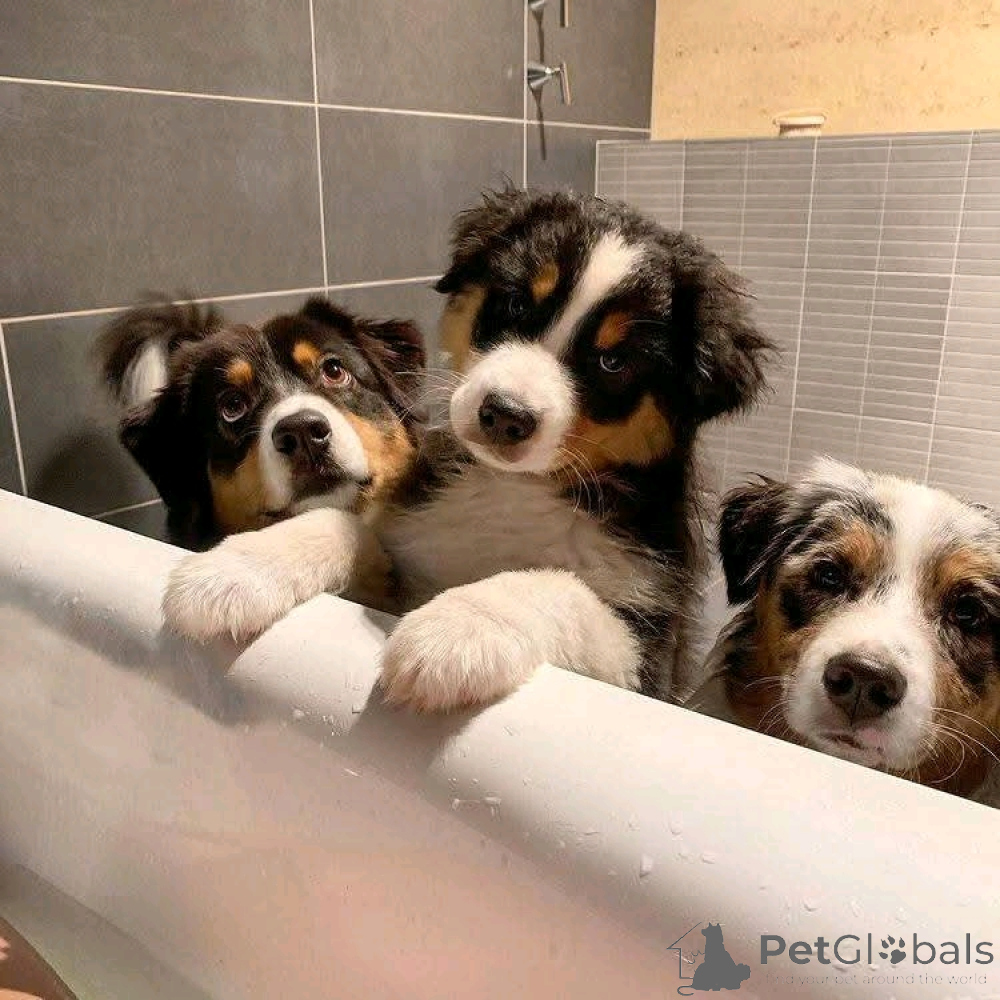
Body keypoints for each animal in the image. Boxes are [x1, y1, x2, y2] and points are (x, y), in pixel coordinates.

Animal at [163, 189, 774, 711]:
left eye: (613, 361)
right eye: (515, 306)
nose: (504, 414)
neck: (513, 488)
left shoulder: (645, 657)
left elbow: (561, 585)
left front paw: (457, 629)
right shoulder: (405, 555)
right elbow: (347, 524)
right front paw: (233, 570)